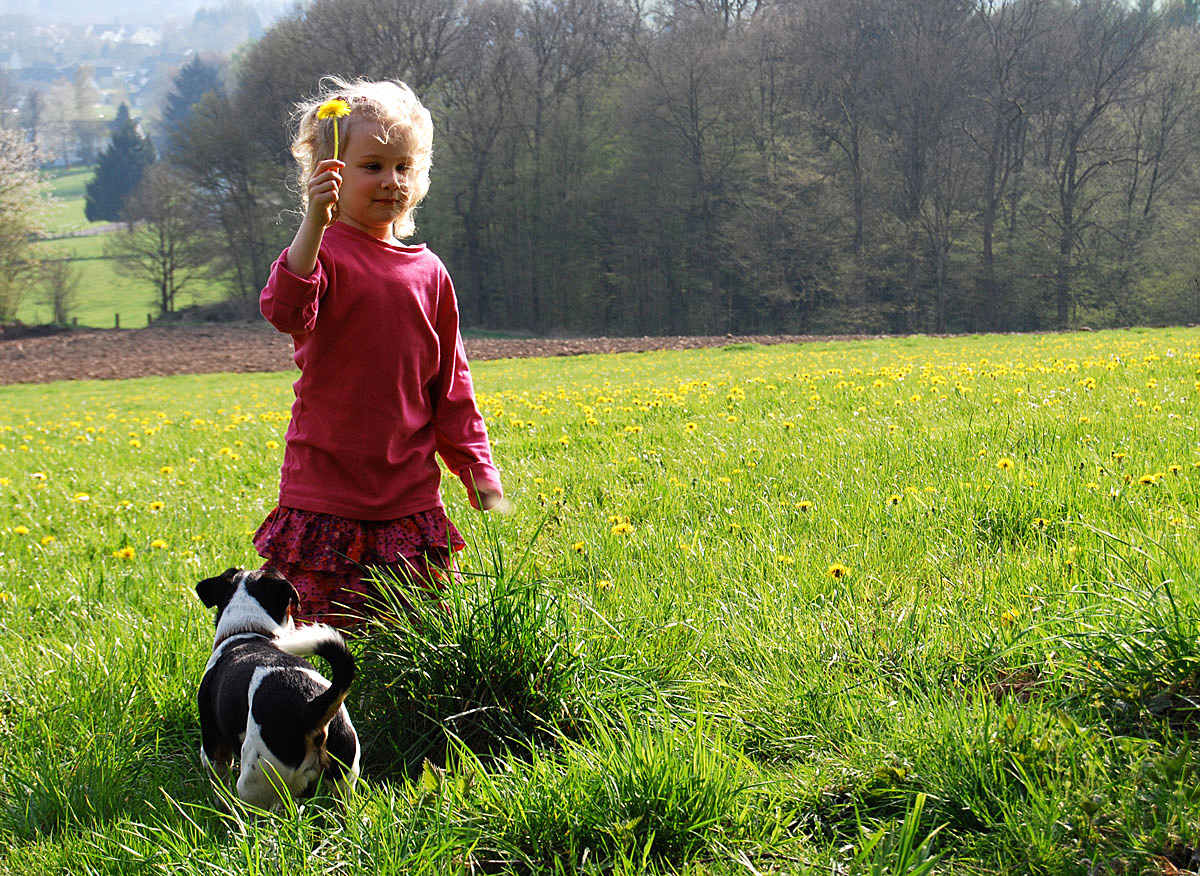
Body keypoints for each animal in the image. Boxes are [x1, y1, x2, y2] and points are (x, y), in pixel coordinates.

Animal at [193, 566, 355, 806]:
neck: (247, 631)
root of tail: (311, 708)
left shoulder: (214, 746)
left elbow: (219, 782)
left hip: (254, 781)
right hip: (343, 778)